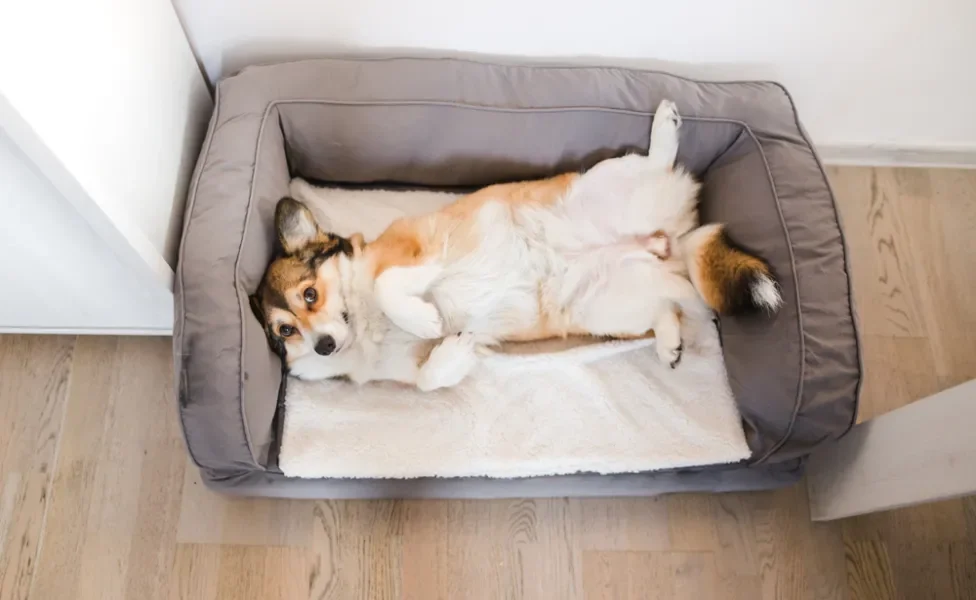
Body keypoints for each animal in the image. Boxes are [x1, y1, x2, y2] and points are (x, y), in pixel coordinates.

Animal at [248, 99, 780, 390]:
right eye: (285, 332)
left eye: (310, 295)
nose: (324, 346)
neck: (365, 329)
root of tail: (672, 240)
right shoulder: (404, 370)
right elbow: (427, 379)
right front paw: (454, 349)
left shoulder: (416, 249)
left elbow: (388, 283)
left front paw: (423, 318)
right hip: (606, 307)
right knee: (667, 307)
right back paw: (669, 342)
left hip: (604, 182)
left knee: (657, 160)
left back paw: (665, 127)